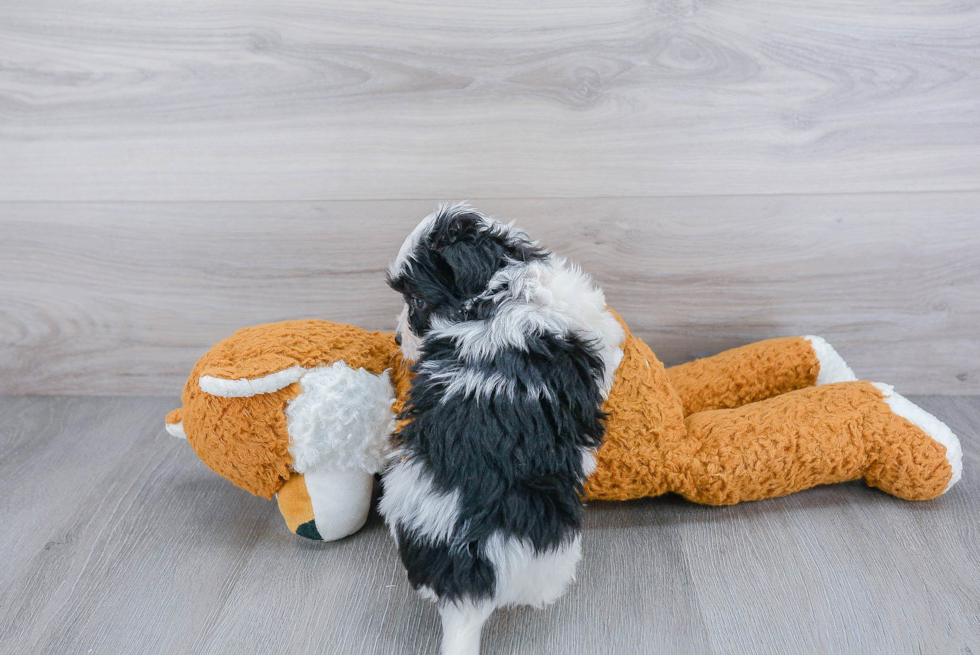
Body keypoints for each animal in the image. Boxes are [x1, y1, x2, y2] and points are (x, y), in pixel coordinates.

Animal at [378, 205, 624, 655]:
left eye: (417, 301)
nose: (399, 338)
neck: (493, 298)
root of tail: (463, 589)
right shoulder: (589, 325)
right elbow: (610, 340)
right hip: (552, 553)